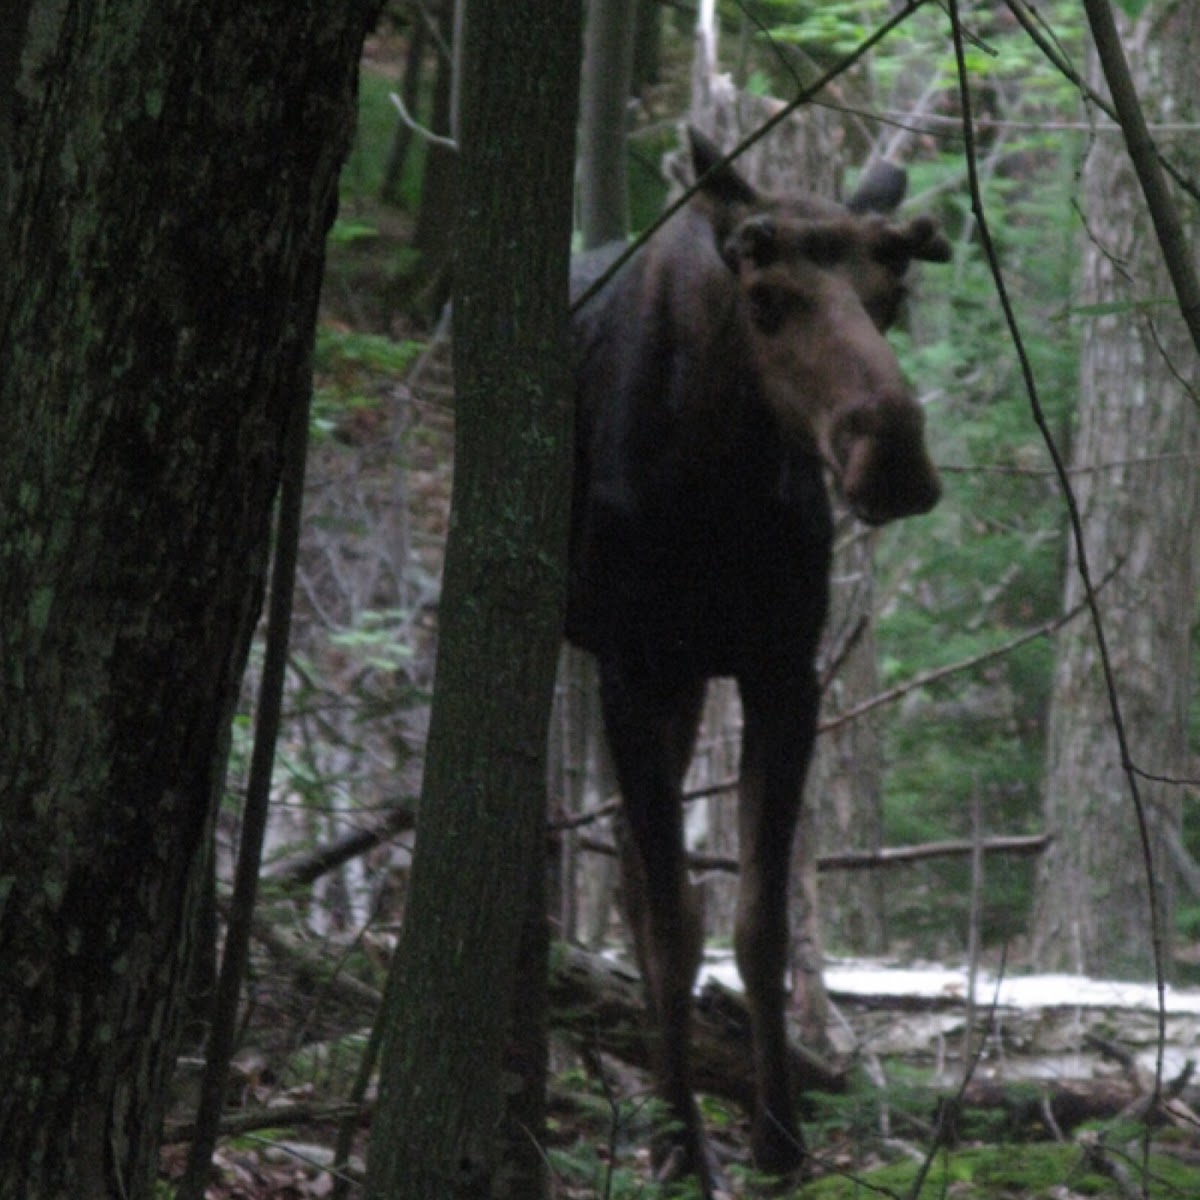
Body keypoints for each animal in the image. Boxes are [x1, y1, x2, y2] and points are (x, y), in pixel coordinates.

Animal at [566, 131, 950, 1190]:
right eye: (766, 295)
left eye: (891, 295)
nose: (893, 457)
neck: (716, 476)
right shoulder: (628, 663)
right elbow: (671, 922)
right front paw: (683, 1147)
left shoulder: (782, 670)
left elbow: (761, 924)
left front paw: (780, 1143)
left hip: (690, 678)